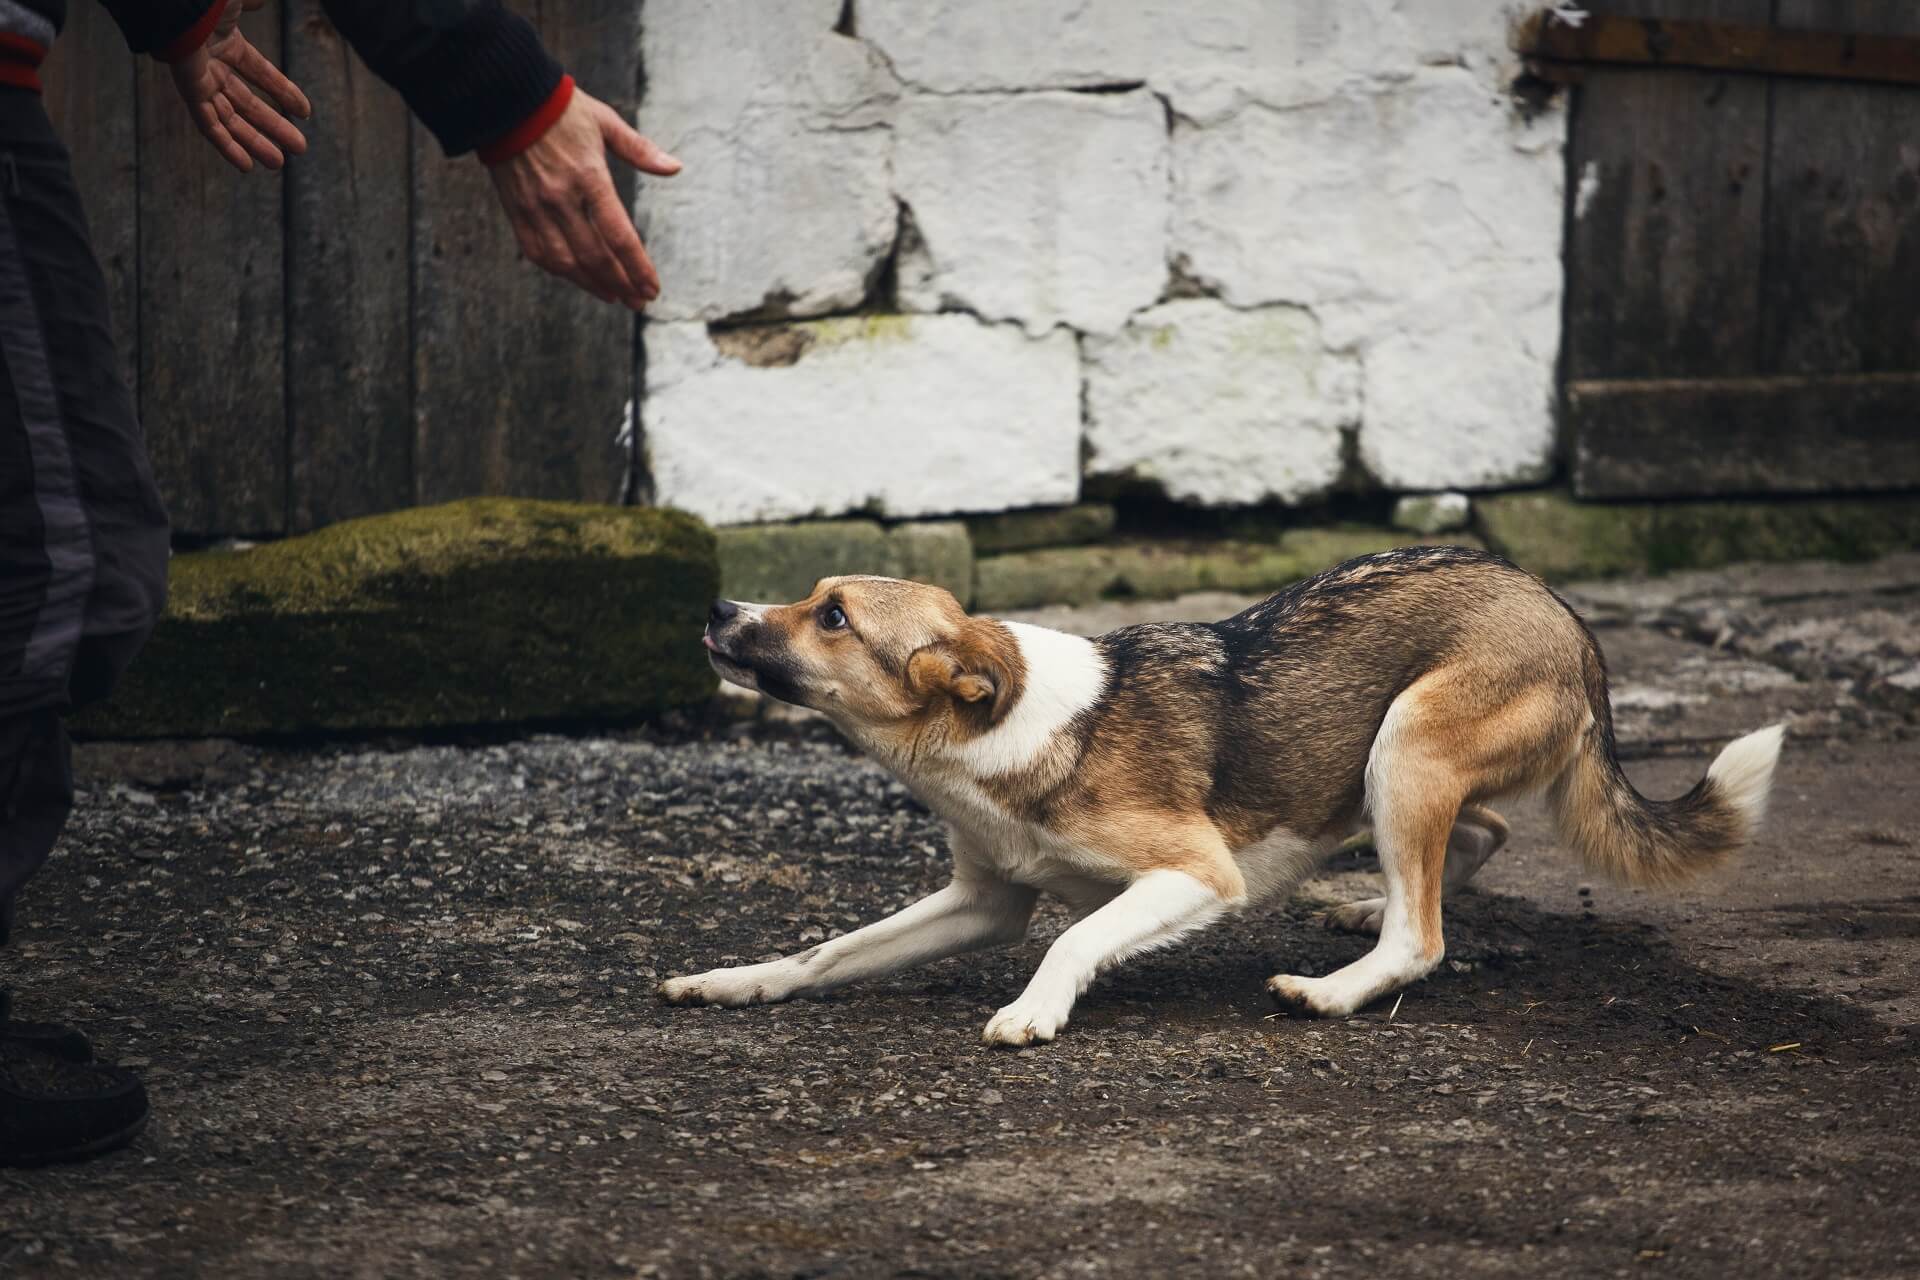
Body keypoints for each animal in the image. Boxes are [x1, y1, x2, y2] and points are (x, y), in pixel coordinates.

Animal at [664, 545, 1781, 1043]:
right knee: (1477, 841)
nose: (714, 606)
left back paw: (1336, 987)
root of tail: (1565, 614)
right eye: (812, 598)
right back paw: (1365, 907)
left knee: (1426, 934)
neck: (997, 724)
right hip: (1394, 771)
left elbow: (1074, 937)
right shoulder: (984, 899)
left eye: (834, 617)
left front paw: (1033, 1011)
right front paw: (736, 980)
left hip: (1407, 747)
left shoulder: (1196, 873)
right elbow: (827, 950)